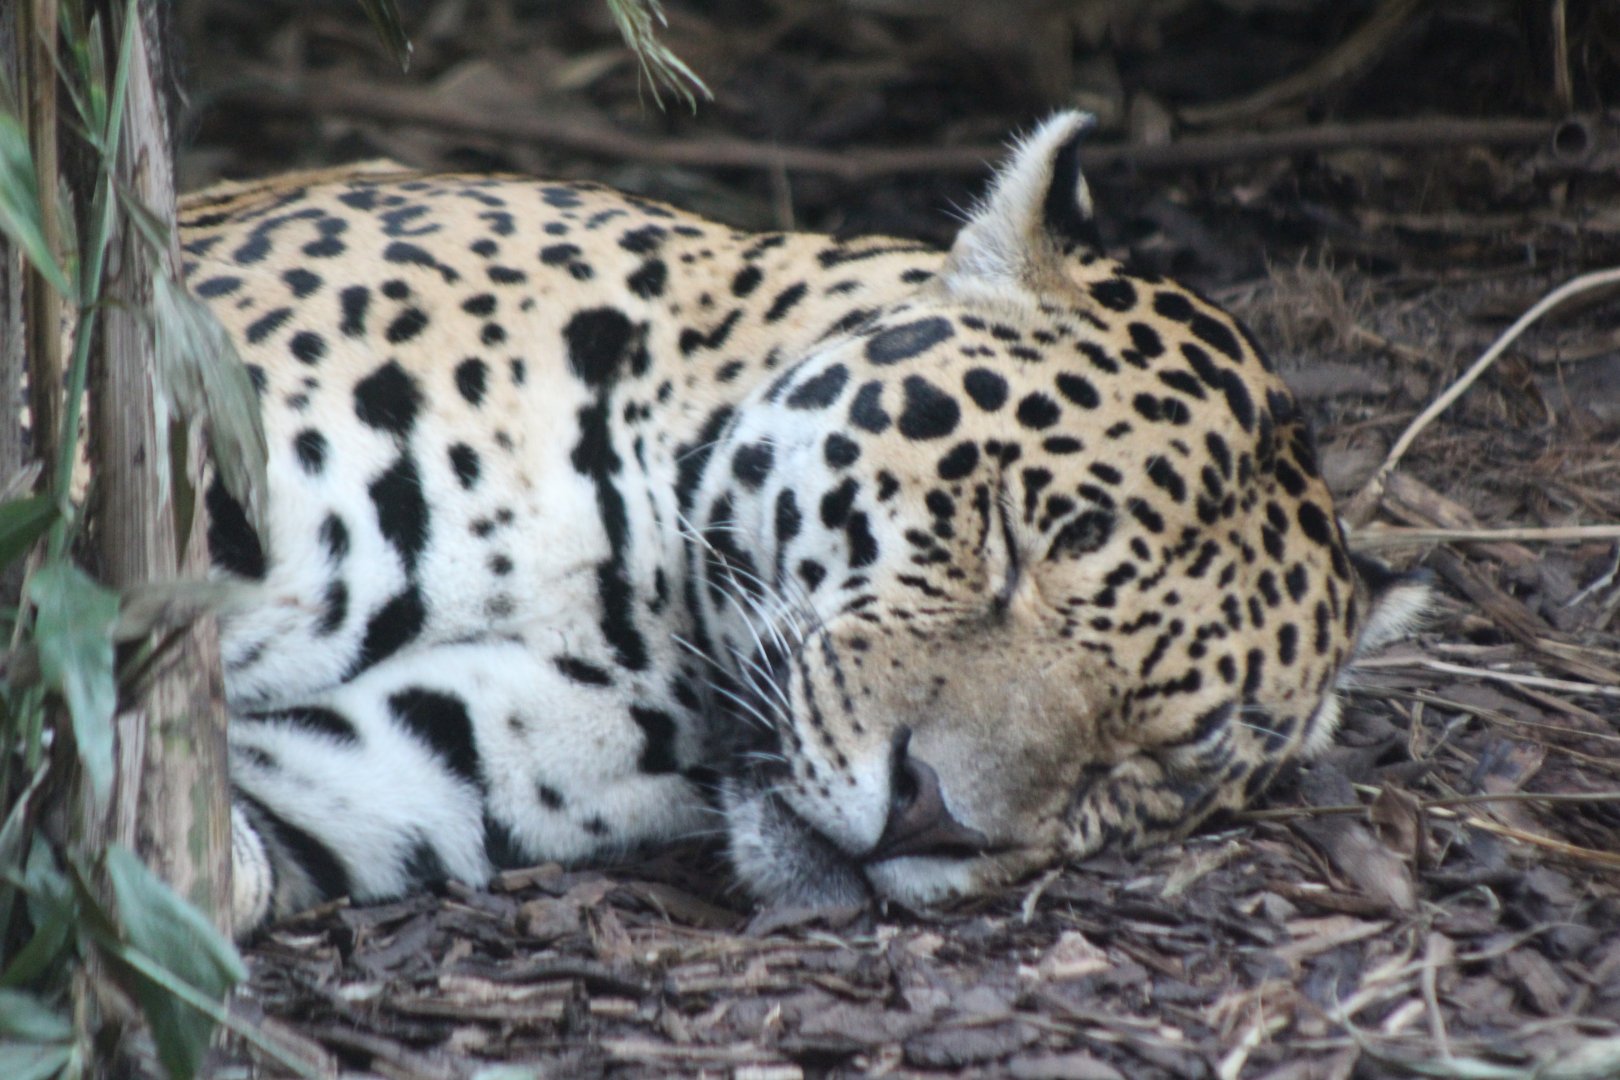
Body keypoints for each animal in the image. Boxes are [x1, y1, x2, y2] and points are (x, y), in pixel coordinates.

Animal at [178, 112, 1426, 931]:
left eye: (1157, 754)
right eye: (1011, 540)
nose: (928, 818)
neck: (630, 609)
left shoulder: (396, 762)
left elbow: (220, 869)